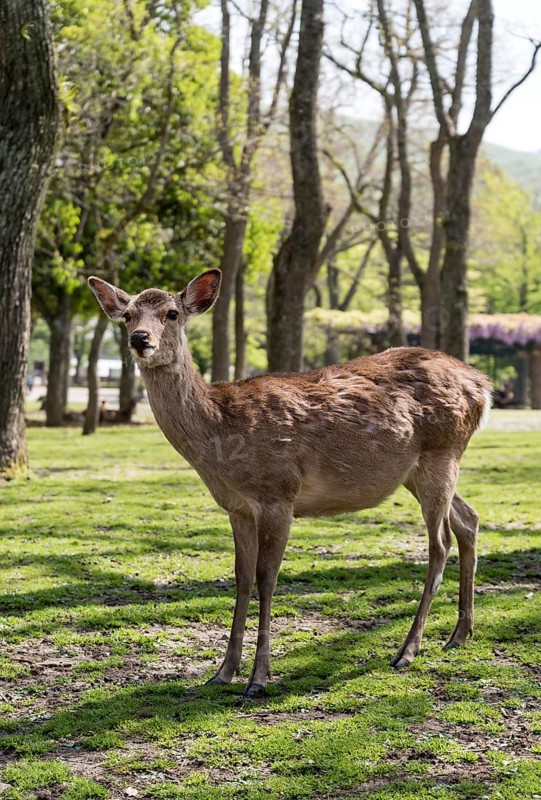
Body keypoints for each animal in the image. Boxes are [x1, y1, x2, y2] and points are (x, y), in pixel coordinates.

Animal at [88, 269, 491, 698]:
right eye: (128, 315)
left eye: (172, 313)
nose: (139, 339)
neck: (220, 438)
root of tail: (483, 386)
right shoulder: (237, 507)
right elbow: (241, 578)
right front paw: (223, 672)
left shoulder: (278, 493)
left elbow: (267, 579)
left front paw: (258, 678)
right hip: (418, 471)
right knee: (468, 520)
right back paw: (459, 634)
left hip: (441, 452)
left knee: (439, 544)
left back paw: (407, 651)